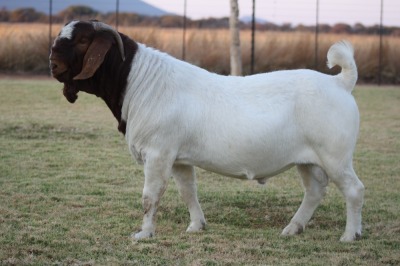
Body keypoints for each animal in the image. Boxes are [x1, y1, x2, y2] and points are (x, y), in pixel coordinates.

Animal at [48, 20, 364, 241]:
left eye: (83, 39)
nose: (52, 62)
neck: (140, 82)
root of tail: (340, 83)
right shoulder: (179, 159)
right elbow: (188, 191)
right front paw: (196, 226)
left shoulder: (158, 153)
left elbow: (150, 196)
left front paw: (144, 233)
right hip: (308, 160)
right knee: (315, 190)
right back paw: (292, 228)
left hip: (335, 156)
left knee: (353, 190)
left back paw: (350, 235)